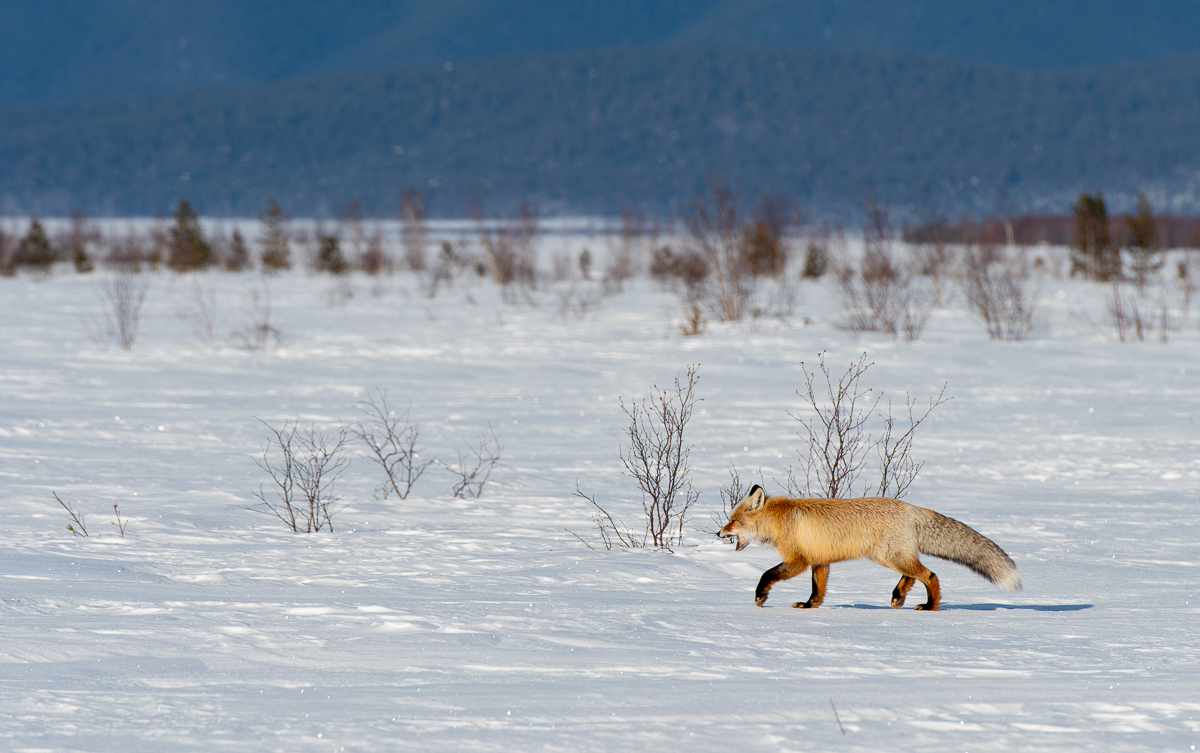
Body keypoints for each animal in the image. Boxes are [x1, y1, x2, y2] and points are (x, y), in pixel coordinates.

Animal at [715, 484, 1017, 609]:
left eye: (733, 520)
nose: (719, 533)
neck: (778, 520)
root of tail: (910, 507)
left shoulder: (798, 560)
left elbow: (766, 574)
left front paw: (760, 597)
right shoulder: (819, 560)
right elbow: (817, 590)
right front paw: (809, 606)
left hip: (889, 556)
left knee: (930, 575)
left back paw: (930, 606)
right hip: (894, 556)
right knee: (913, 574)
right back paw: (899, 595)